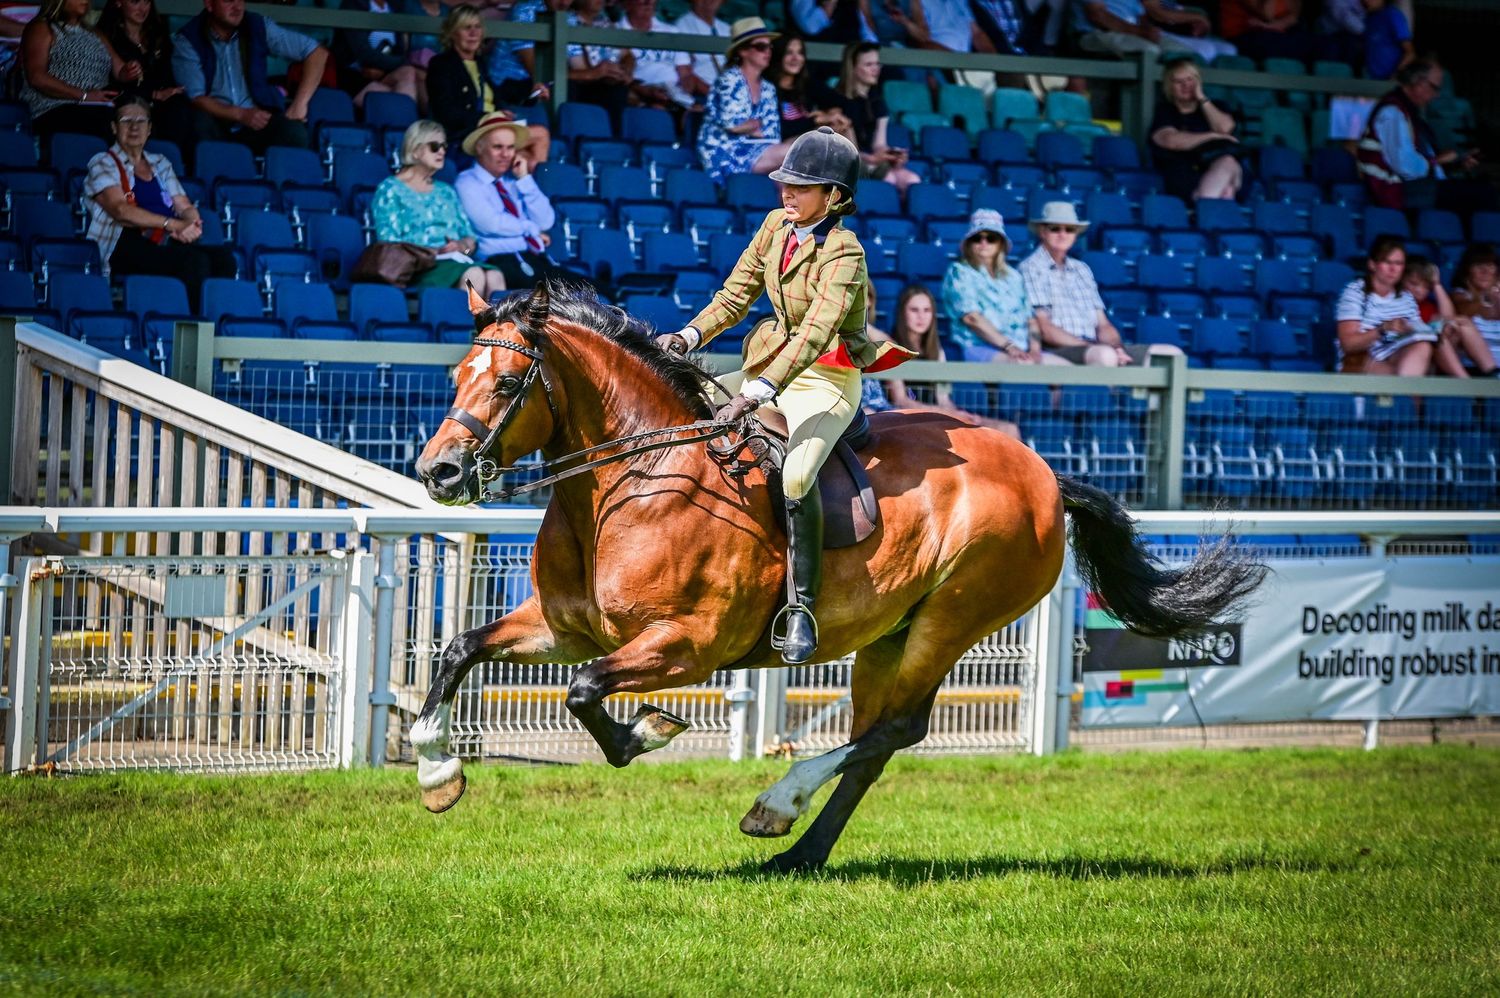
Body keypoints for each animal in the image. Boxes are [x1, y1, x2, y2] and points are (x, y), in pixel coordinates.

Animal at [411, 282, 1266, 873]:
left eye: (507, 385)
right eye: (456, 376)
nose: (439, 472)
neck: (636, 477)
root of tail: (1045, 475)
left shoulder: (687, 645)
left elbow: (586, 693)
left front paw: (649, 730)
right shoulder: (565, 627)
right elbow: (459, 651)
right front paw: (436, 772)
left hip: (952, 619)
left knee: (897, 730)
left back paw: (777, 806)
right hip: (888, 638)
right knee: (873, 743)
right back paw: (799, 851)